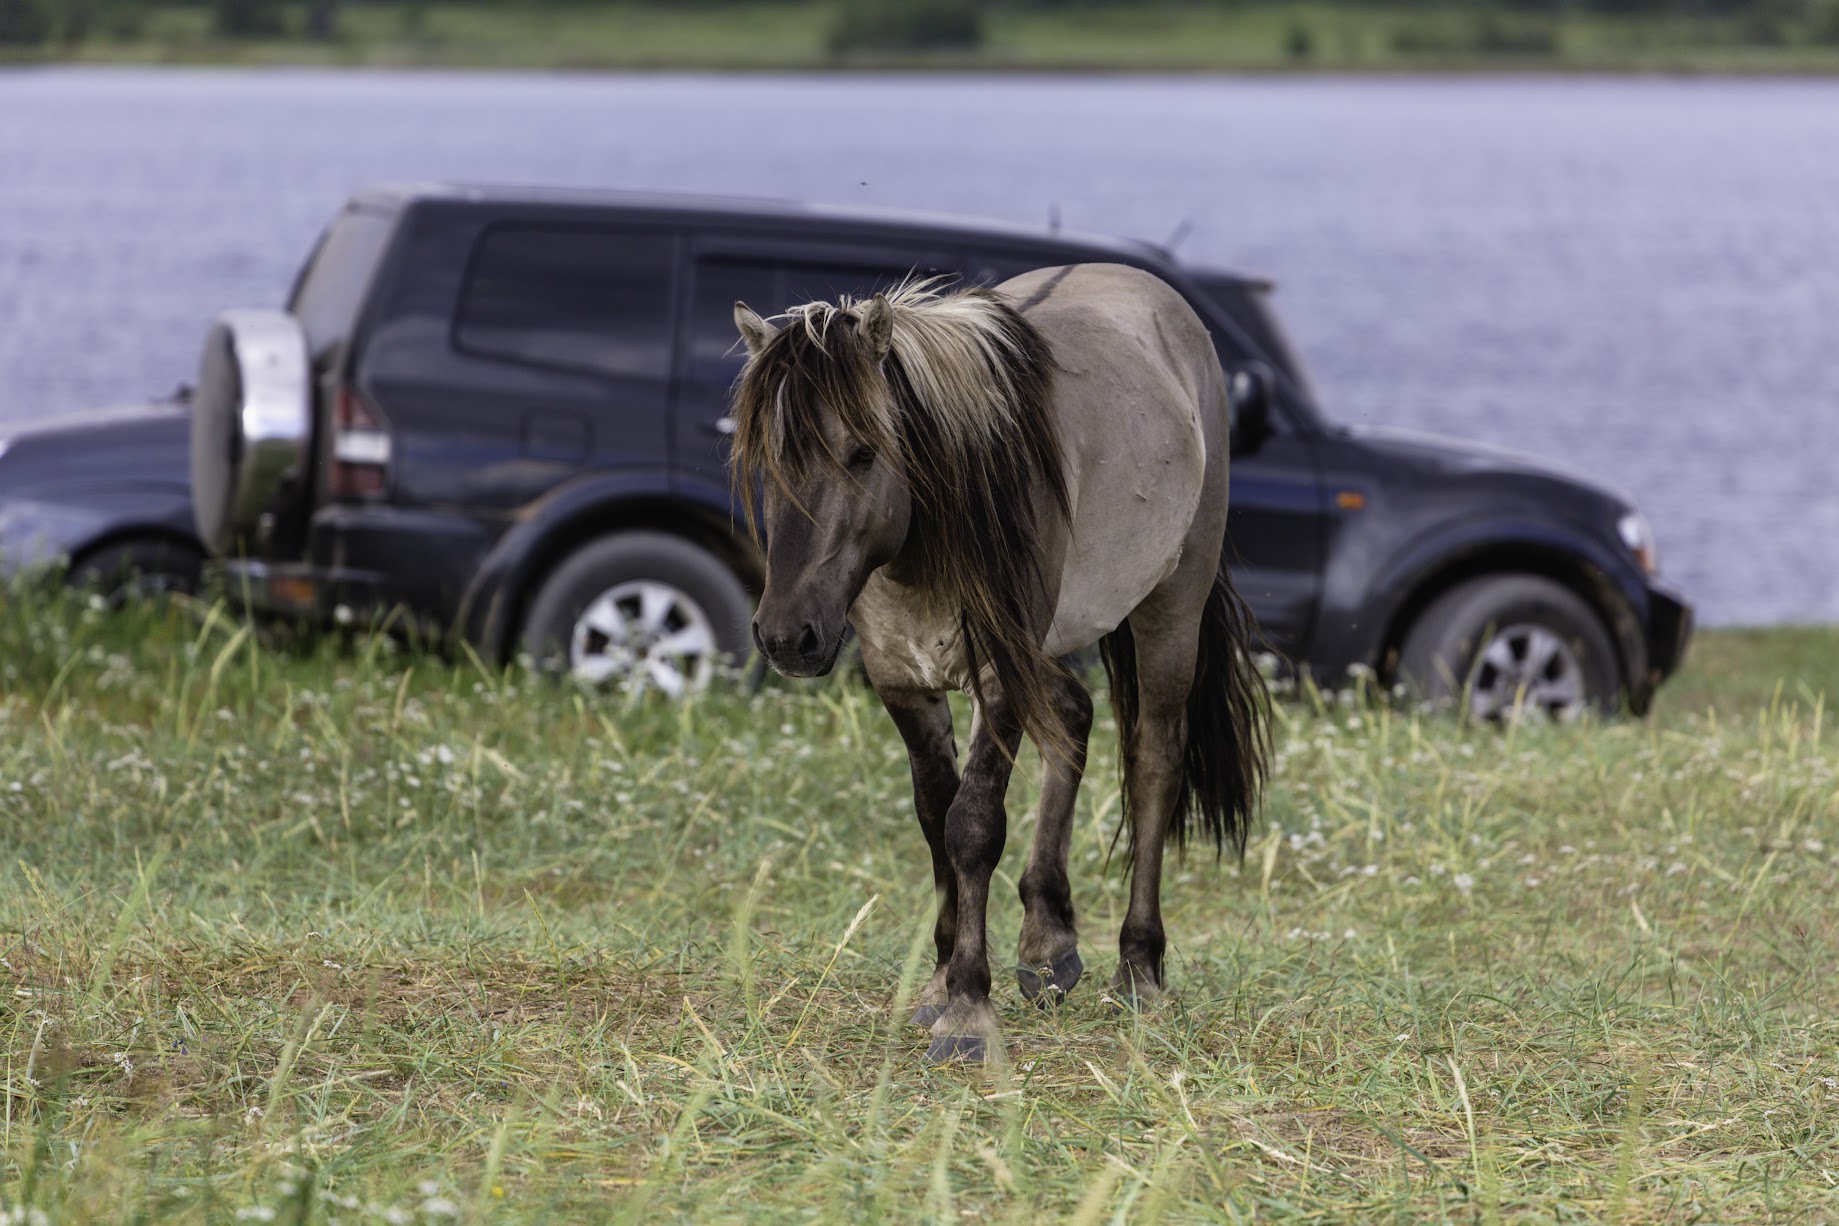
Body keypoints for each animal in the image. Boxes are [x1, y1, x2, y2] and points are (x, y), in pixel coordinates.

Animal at [724, 261, 1272, 1066]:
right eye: (765, 459)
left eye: (862, 452)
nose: (788, 636)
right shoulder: (902, 681)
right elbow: (933, 817)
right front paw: (940, 981)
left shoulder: (998, 680)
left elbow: (972, 825)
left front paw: (966, 1010)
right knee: (1073, 717)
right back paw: (1048, 943)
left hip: (1170, 606)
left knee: (1154, 763)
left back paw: (1138, 968)